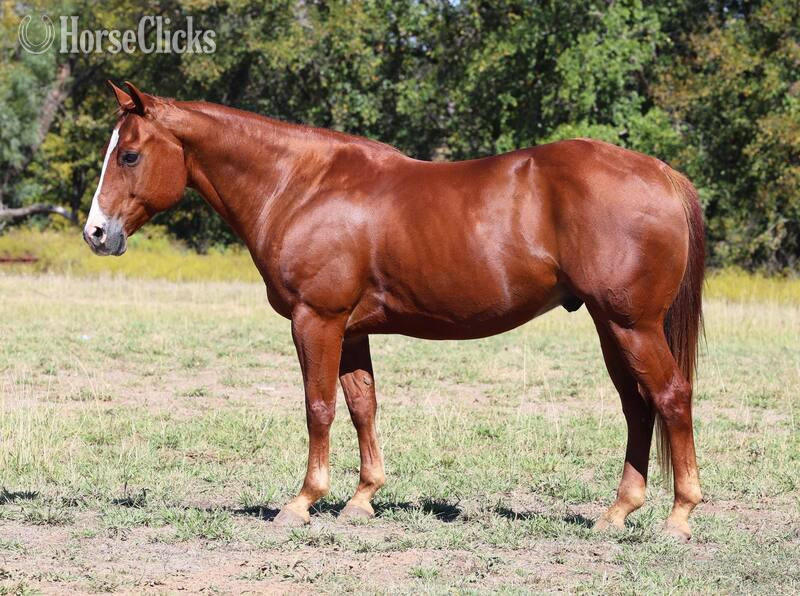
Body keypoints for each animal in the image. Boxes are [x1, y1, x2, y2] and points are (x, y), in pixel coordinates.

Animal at [84, 81, 704, 540]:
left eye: (130, 154)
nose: (96, 233)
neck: (301, 186)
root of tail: (662, 173)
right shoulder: (351, 331)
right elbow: (363, 406)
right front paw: (362, 499)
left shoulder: (317, 320)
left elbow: (318, 407)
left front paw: (302, 501)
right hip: (611, 326)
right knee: (638, 407)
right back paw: (617, 512)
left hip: (631, 325)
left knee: (670, 398)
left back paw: (678, 516)